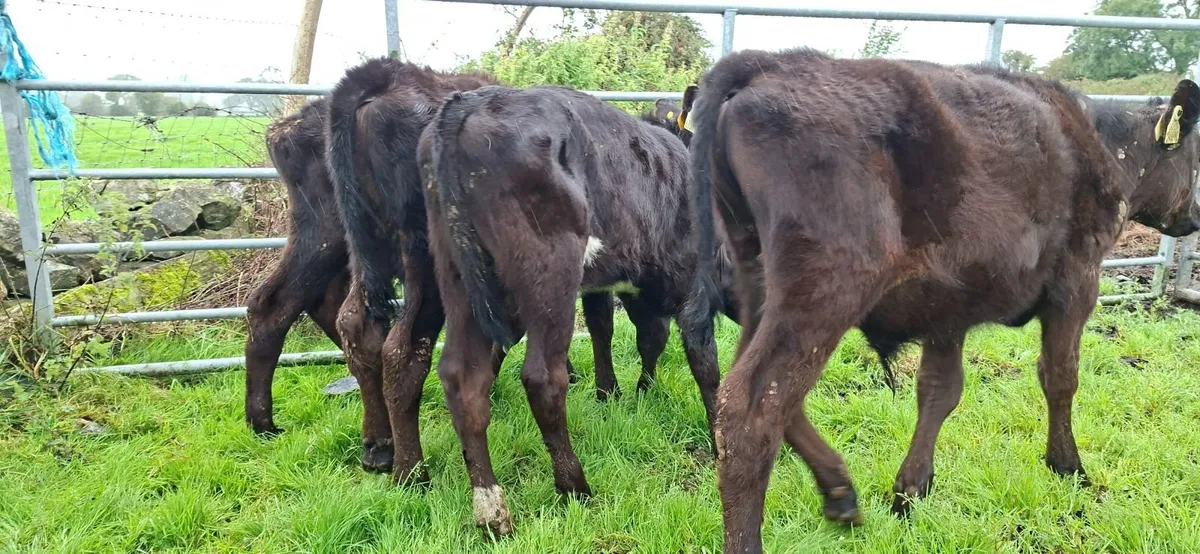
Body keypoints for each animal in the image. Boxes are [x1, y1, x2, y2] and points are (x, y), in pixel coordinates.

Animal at [419, 84, 731, 536]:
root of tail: (468, 104)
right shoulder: (693, 287)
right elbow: (705, 364)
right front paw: (720, 441)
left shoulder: (610, 283)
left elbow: (621, 332)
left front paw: (620, 393)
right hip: (551, 271)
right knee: (543, 378)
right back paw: (574, 486)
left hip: (458, 274)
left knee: (463, 377)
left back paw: (491, 510)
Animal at [679, 48, 1200, 553]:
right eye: (1197, 157)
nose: (1193, 217)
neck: (1106, 146)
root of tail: (770, 62)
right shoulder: (1077, 281)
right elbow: (1060, 376)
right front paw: (1067, 466)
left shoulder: (948, 306)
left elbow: (940, 389)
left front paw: (910, 490)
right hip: (826, 290)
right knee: (753, 409)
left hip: (759, 285)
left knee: (756, 392)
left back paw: (840, 491)